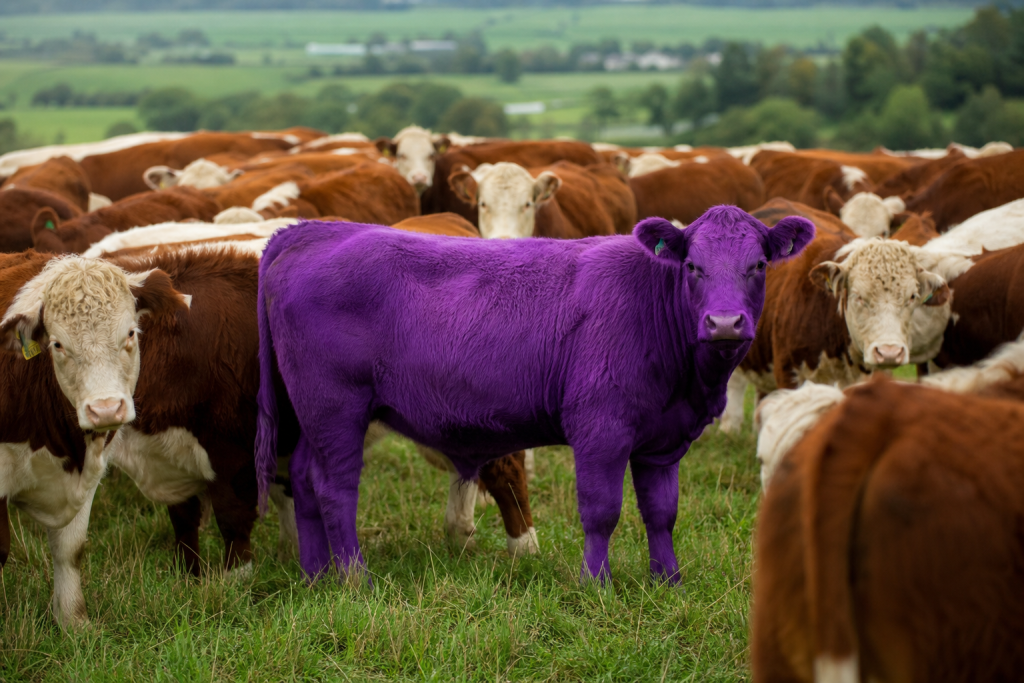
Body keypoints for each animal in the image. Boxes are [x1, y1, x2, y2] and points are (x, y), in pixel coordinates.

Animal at [253, 206, 815, 582]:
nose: (724, 323)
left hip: (314, 420)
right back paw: (354, 577)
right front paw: (597, 584)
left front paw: (668, 581)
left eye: (758, 266)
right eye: (693, 267)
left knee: (303, 480)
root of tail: (310, 230)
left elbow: (661, 512)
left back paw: (316, 574)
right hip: (336, 411)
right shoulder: (601, 431)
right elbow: (601, 510)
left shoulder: (661, 444)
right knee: (334, 488)